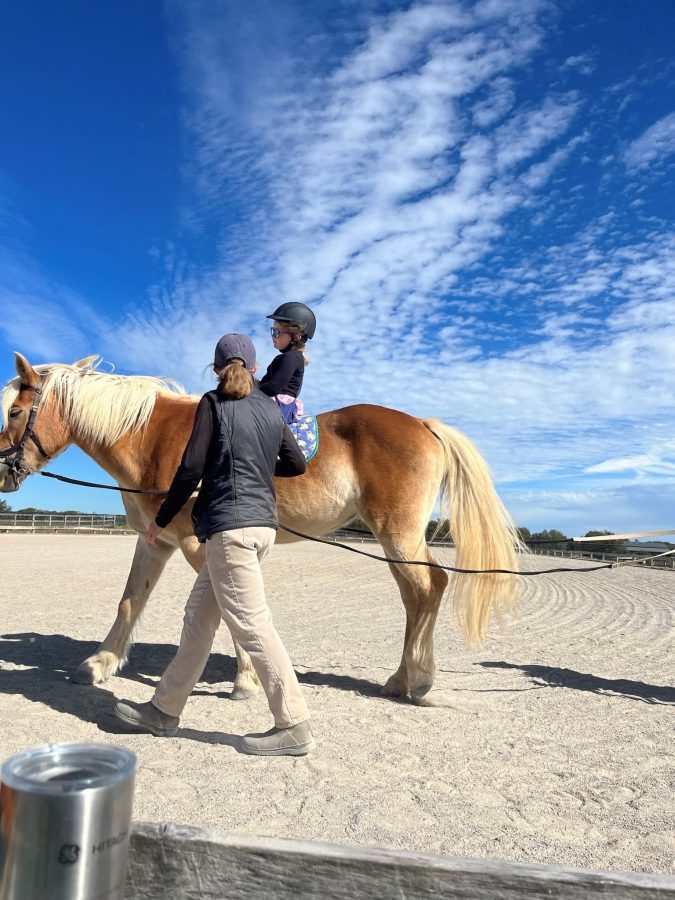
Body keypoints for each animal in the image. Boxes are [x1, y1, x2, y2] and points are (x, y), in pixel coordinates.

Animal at [1, 352, 523, 705]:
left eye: (13, 411)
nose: (2, 471)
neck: (154, 437)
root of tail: (421, 423)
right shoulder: (156, 542)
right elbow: (130, 601)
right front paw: (99, 664)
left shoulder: (198, 543)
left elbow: (230, 607)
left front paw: (246, 680)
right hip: (393, 539)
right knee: (417, 594)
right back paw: (402, 679)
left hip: (398, 534)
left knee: (428, 587)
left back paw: (419, 681)